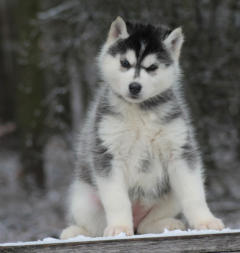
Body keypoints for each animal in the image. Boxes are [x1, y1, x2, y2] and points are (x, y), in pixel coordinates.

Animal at [60, 16, 225, 238]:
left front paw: (206, 221)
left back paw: (167, 225)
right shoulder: (108, 154)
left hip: (170, 196)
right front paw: (120, 228)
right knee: (96, 228)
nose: (134, 86)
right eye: (124, 63)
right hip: (83, 200)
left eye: (152, 67)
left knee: (146, 225)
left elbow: (194, 194)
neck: (139, 111)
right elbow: (117, 200)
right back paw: (75, 232)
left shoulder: (180, 151)